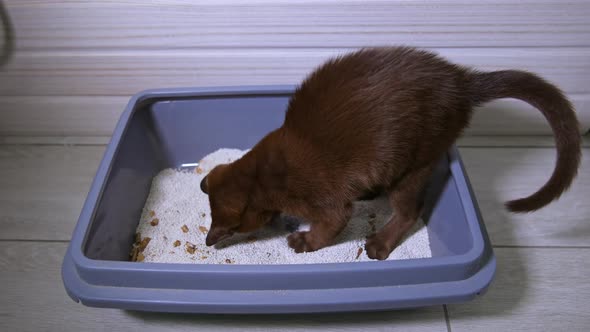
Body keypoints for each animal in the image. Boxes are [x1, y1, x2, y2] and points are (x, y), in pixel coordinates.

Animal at [200, 46, 584, 260]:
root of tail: (461, 82)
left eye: (229, 228)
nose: (208, 240)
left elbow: (330, 226)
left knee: (410, 211)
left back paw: (379, 244)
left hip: (413, 163)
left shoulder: (327, 203)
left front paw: (304, 241)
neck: (262, 172)